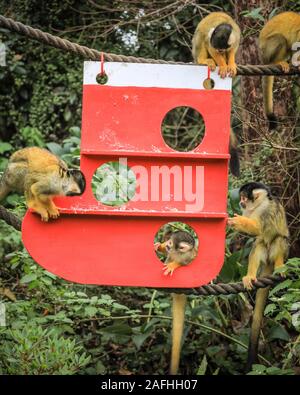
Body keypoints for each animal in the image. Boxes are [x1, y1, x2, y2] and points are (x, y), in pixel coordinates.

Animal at [156, 229, 198, 374]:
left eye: (171, 243)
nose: (167, 245)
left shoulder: (189, 256)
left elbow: (186, 263)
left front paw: (174, 265)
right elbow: (166, 254)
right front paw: (160, 246)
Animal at [229, 183, 290, 372]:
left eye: (243, 197)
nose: (240, 202)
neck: (258, 205)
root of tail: (270, 262)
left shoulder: (265, 210)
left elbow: (257, 228)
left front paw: (237, 221)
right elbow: (255, 233)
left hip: (281, 251)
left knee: (278, 239)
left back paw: (279, 265)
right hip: (264, 252)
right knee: (259, 244)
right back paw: (250, 276)